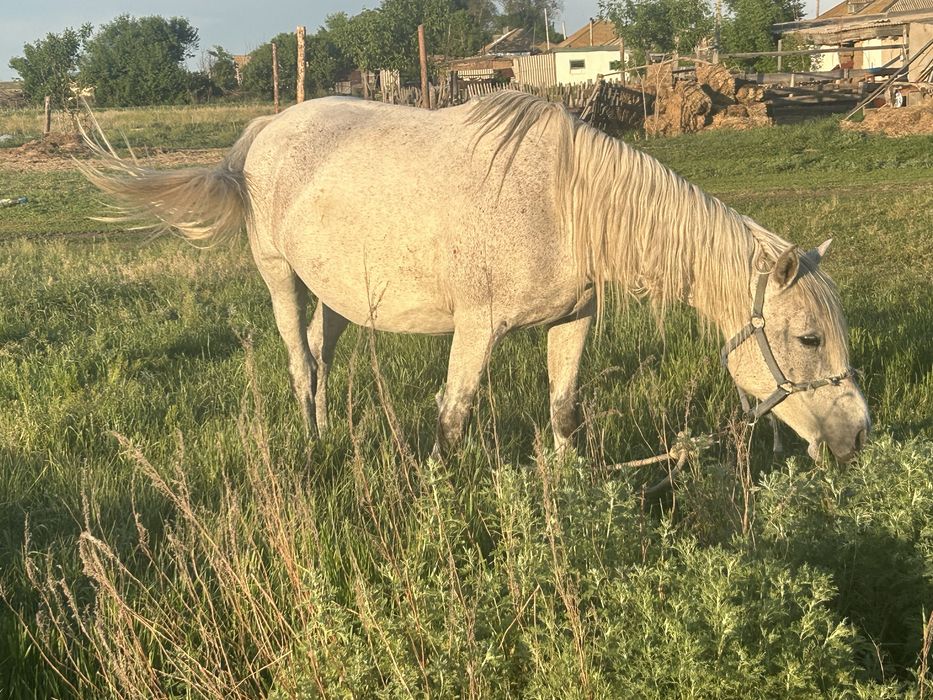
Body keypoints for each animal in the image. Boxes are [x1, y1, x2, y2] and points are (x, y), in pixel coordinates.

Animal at [80, 91, 870, 461]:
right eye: (807, 338)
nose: (857, 435)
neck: (565, 203)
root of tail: (264, 130)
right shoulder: (478, 328)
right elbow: (452, 417)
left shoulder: (572, 322)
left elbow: (563, 412)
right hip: (280, 280)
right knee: (300, 364)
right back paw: (311, 443)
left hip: (338, 296)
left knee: (323, 356)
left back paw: (331, 431)